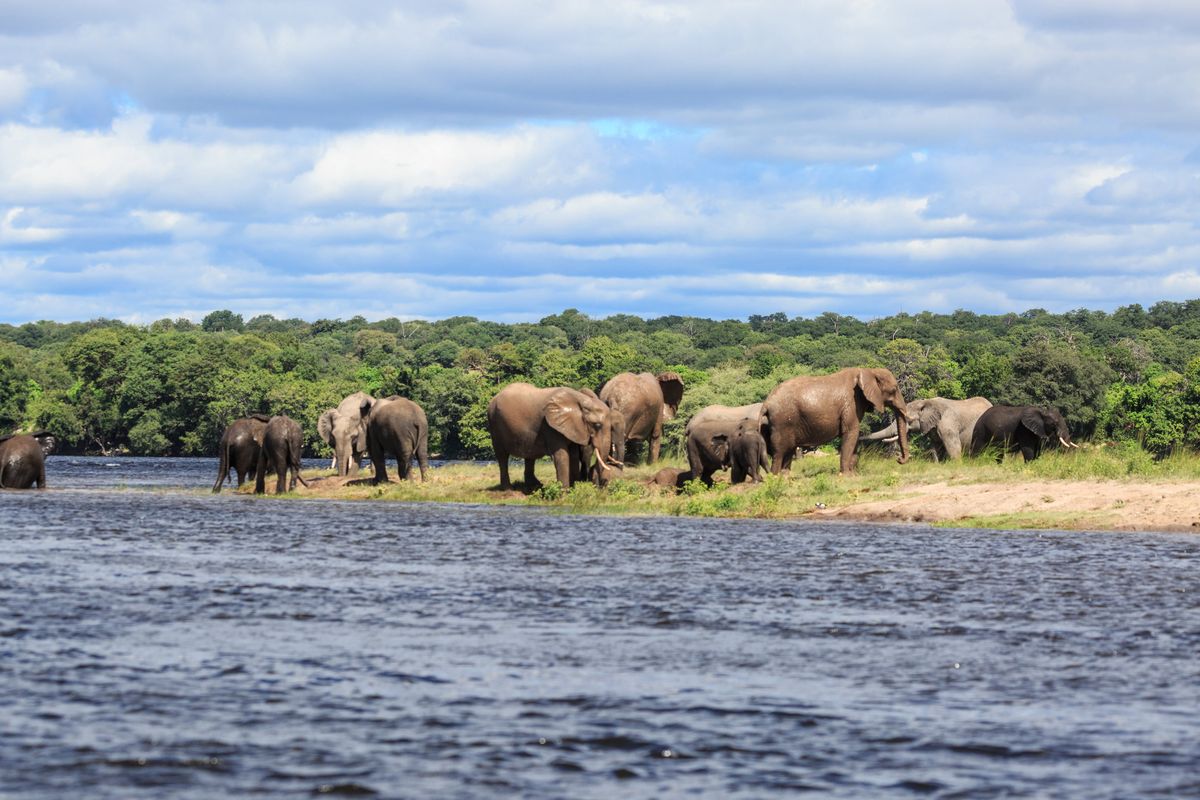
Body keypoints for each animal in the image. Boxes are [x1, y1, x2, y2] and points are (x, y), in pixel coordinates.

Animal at [487, 382, 622, 491]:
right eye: (597, 425)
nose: (599, 487)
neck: (581, 400)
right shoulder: (550, 426)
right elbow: (562, 455)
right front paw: (564, 493)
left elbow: (573, 455)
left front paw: (573, 489)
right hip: (494, 424)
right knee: (502, 456)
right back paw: (509, 490)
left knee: (530, 456)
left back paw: (535, 486)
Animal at [760, 368, 912, 475]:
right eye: (894, 389)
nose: (899, 459)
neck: (869, 370)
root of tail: (766, 403)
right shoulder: (851, 404)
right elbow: (851, 432)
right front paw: (847, 476)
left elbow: (853, 436)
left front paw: (853, 474)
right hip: (782, 422)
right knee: (780, 451)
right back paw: (775, 478)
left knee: (788, 450)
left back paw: (785, 477)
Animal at [861, 397, 993, 462]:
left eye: (908, 419)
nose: (898, 459)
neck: (925, 403)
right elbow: (936, 447)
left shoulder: (947, 422)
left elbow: (953, 445)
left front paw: (957, 465)